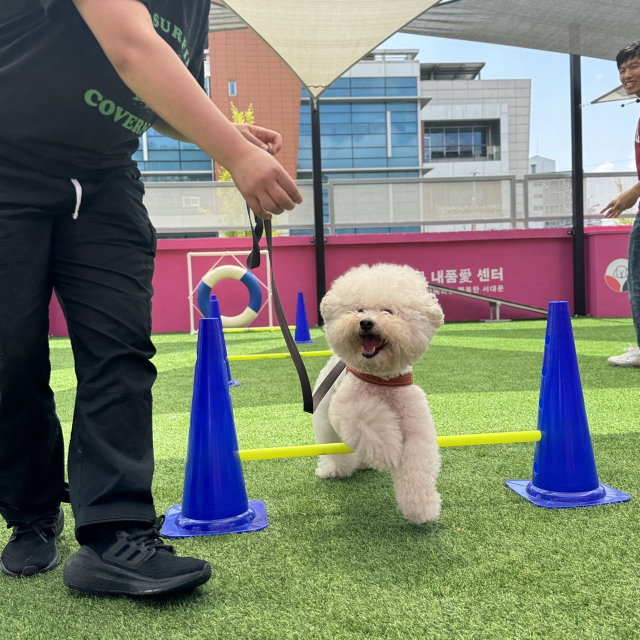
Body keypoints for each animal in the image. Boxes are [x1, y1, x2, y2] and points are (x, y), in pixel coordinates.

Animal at [312, 262, 442, 524]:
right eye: (360, 309)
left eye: (388, 311)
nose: (366, 322)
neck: (382, 381)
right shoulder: (351, 408)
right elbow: (371, 424)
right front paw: (388, 452)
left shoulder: (416, 427)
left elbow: (417, 467)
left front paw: (422, 509)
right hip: (326, 422)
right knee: (333, 447)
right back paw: (333, 469)